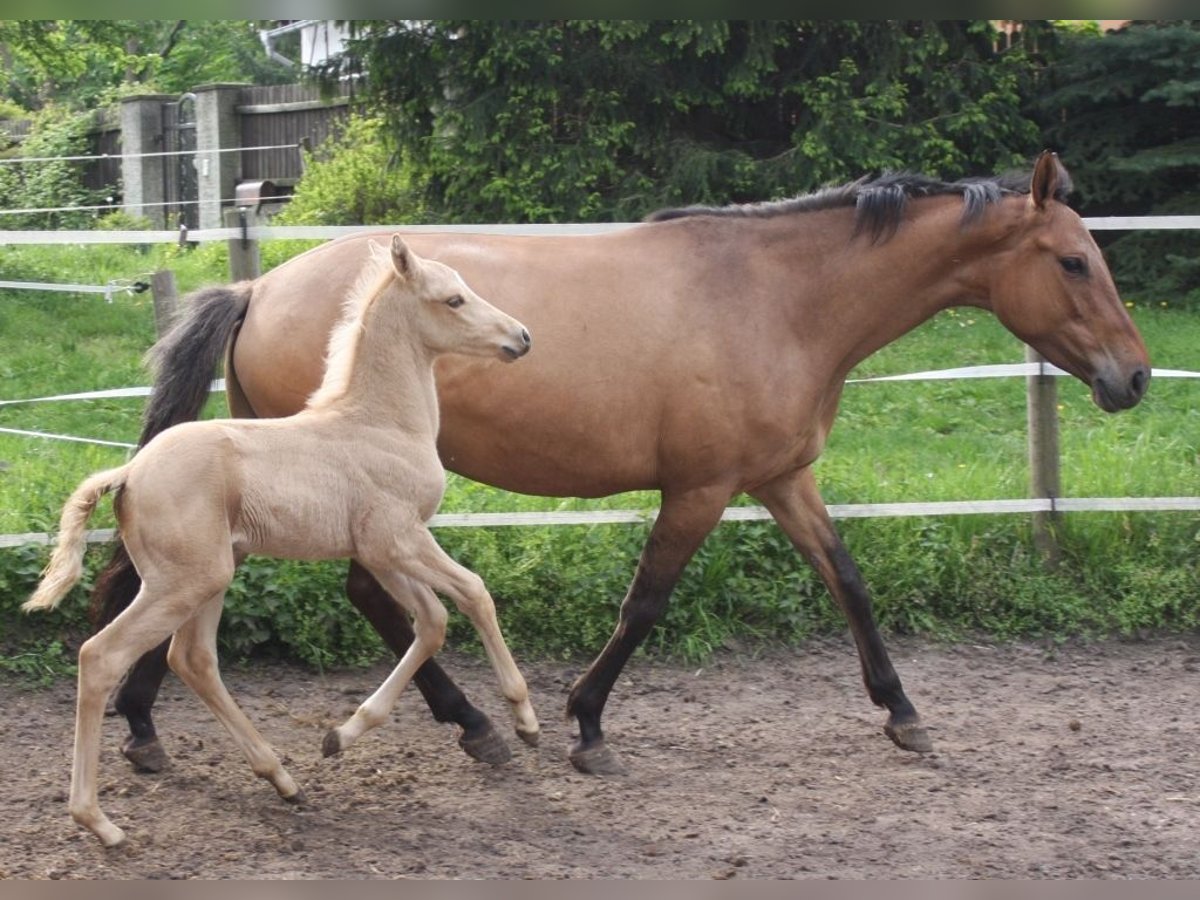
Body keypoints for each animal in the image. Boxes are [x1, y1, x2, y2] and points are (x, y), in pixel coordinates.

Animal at [22, 236, 540, 849]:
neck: (380, 424)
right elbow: (475, 593)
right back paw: (99, 822)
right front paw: (524, 720)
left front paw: (342, 734)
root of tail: (128, 473)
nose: (521, 336)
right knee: (102, 656)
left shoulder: (381, 551)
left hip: (212, 576)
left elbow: (432, 622)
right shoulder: (401, 539)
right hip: (183, 582)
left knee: (192, 659)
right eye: (454, 299)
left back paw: (282, 778)